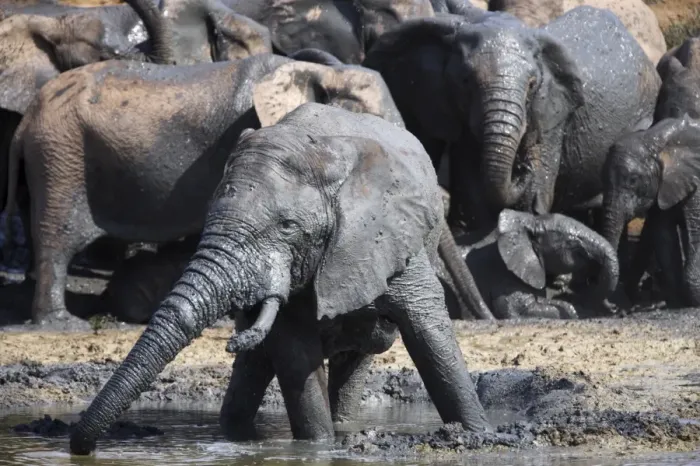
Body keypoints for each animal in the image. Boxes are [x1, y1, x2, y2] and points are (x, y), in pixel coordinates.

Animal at [5, 54, 490, 326]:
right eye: (373, 119)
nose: (484, 320)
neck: (317, 70)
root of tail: (26, 120)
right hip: (61, 156)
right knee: (57, 237)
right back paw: (61, 324)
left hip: (48, 156)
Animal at [69, 102, 492, 455]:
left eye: (287, 227)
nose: (81, 448)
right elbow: (293, 349)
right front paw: (318, 447)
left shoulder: (387, 236)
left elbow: (428, 330)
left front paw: (475, 433)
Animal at [362, 7, 661, 230]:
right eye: (465, 81)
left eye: (532, 85)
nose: (522, 168)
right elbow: (475, 195)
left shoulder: (551, 117)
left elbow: (531, 201)